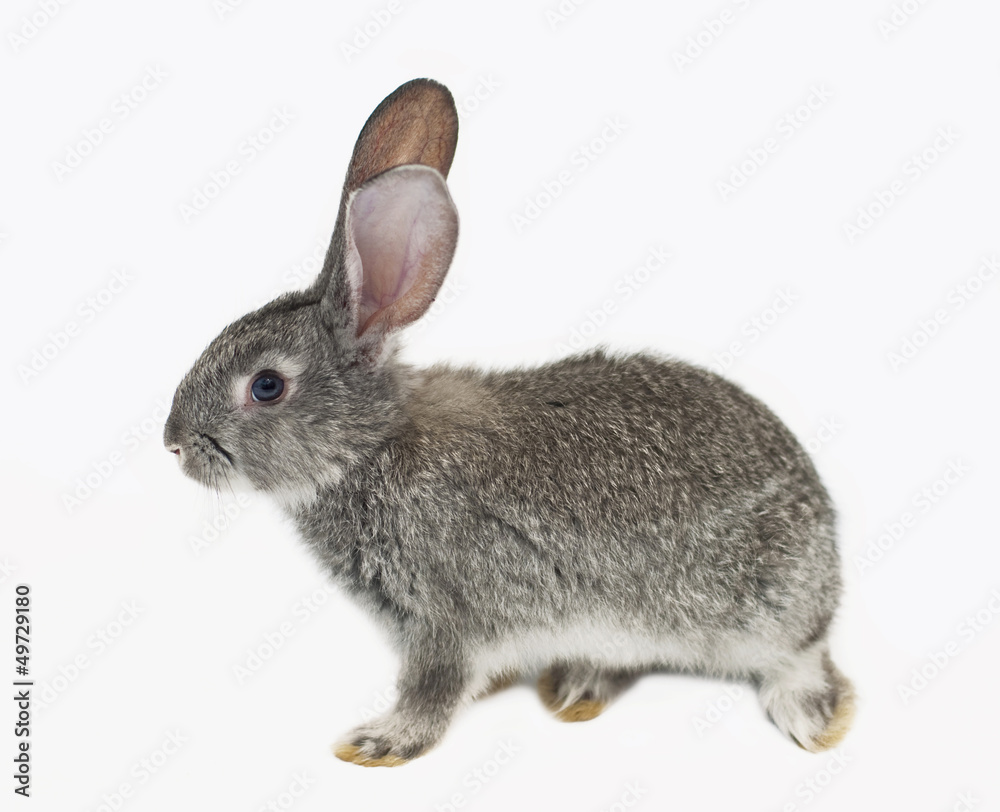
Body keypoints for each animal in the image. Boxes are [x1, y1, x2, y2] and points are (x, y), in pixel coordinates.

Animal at [164, 78, 855, 767]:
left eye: (267, 386)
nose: (173, 444)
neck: (371, 446)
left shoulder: (445, 613)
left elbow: (434, 688)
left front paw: (378, 743)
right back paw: (576, 687)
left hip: (760, 612)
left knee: (800, 659)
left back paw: (811, 719)